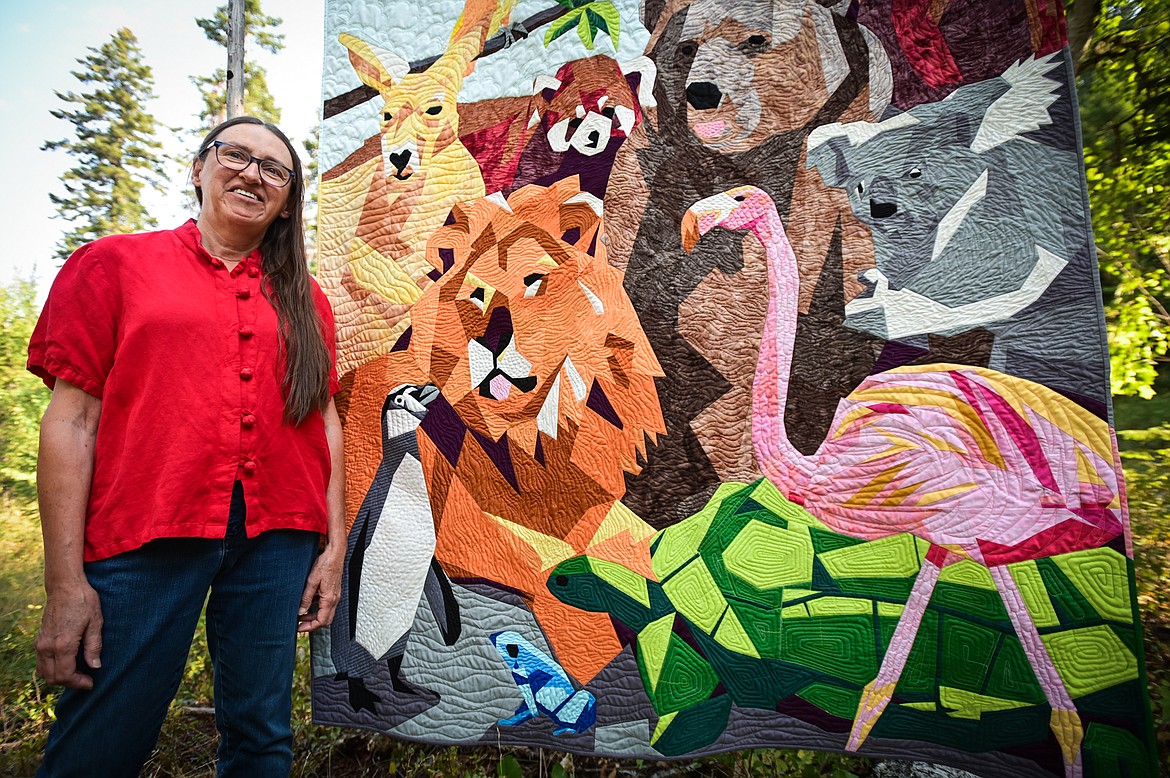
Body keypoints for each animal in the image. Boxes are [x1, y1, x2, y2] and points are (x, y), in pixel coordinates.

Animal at [341, 177, 664, 678]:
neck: (535, 443)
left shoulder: (613, 523)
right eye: (476, 293)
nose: (491, 339)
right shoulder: (525, 567)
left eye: (533, 281)